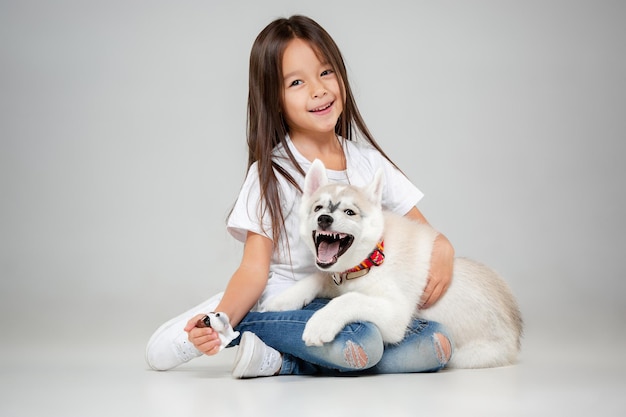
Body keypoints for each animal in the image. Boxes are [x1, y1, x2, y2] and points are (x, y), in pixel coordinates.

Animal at [262, 159, 520, 368]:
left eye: (349, 212)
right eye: (318, 208)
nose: (324, 219)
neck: (370, 260)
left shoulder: (396, 314)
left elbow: (349, 299)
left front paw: (320, 322)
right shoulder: (336, 278)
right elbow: (317, 277)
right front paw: (281, 300)